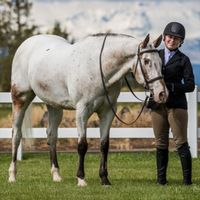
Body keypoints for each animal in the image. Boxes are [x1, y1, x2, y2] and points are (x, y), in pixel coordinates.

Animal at [8, 32, 169, 186]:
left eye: (160, 62)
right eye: (147, 61)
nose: (162, 93)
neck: (99, 69)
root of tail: (26, 43)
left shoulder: (108, 112)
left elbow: (104, 145)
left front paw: (104, 179)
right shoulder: (82, 111)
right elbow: (82, 145)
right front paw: (81, 179)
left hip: (54, 106)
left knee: (52, 136)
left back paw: (56, 175)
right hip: (20, 99)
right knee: (16, 135)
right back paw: (12, 175)